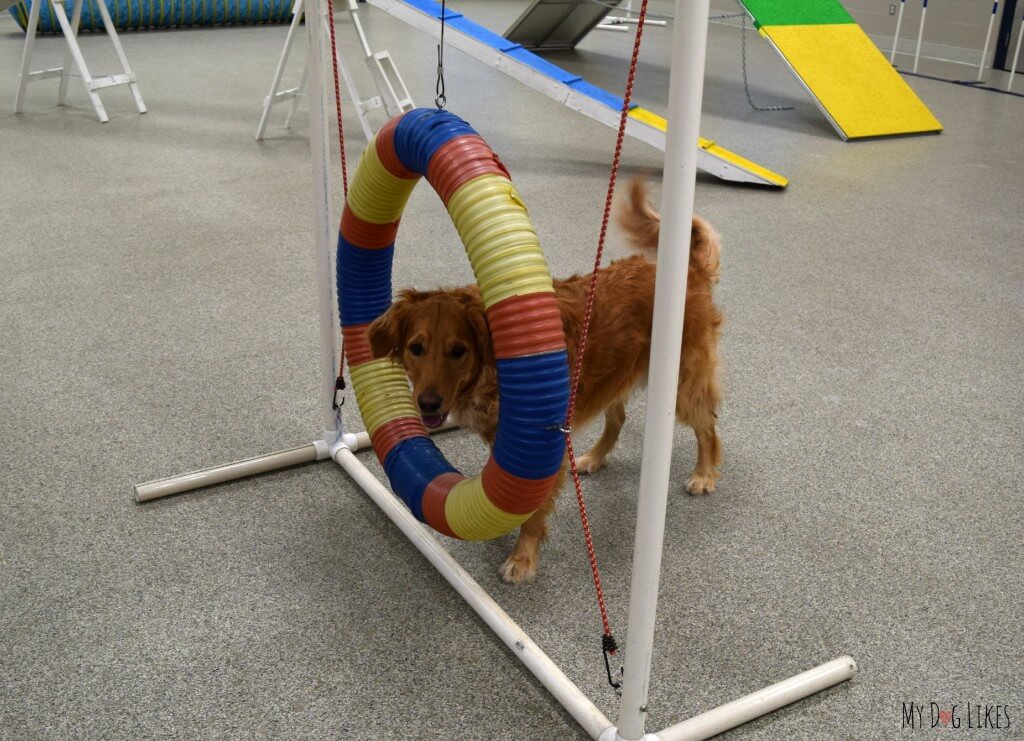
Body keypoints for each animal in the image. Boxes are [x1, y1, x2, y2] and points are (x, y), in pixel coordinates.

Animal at [366, 177, 720, 581]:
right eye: (417, 348)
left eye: (458, 351)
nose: (427, 403)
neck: (494, 367)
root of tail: (690, 271)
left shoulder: (540, 445)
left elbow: (533, 511)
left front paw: (522, 558)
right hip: (612, 377)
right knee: (618, 419)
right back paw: (594, 458)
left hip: (681, 383)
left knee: (707, 425)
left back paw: (704, 474)